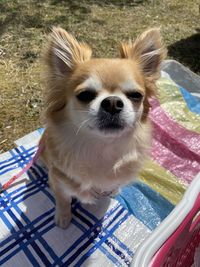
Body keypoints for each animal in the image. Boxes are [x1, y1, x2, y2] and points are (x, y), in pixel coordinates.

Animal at [40, 26, 166, 228]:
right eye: (84, 95)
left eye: (136, 95)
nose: (113, 103)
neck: (102, 148)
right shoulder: (58, 179)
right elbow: (63, 199)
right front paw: (63, 217)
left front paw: (113, 191)